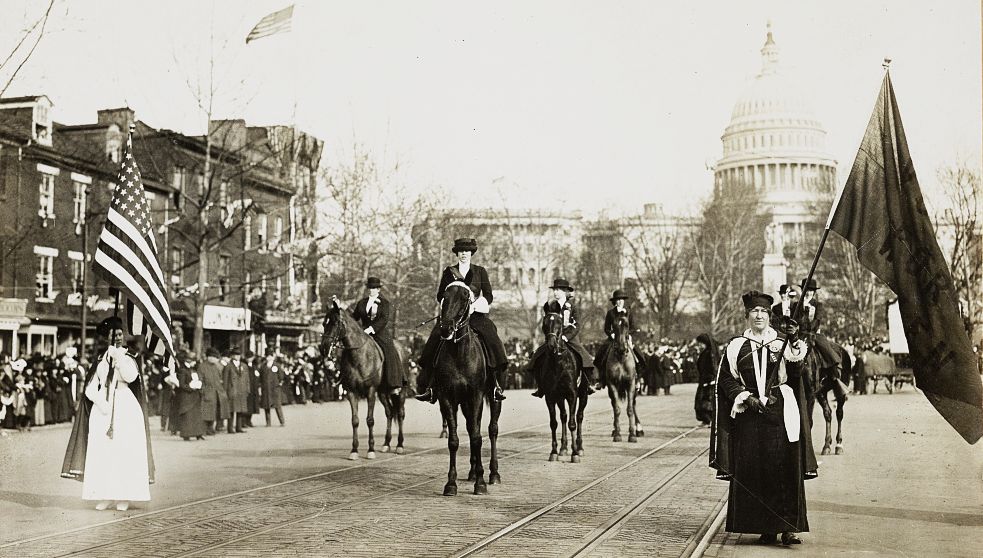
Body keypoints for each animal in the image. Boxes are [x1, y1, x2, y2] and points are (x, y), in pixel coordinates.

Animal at [322, 304, 408, 462]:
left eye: (335, 323)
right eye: (324, 323)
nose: (323, 348)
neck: (358, 356)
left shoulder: (370, 391)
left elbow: (370, 420)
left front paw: (370, 449)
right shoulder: (351, 392)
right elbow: (355, 420)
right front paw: (354, 450)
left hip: (400, 391)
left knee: (400, 414)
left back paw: (400, 445)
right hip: (382, 393)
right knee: (389, 413)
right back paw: (386, 444)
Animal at [434, 282, 504, 496]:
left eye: (465, 297)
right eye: (444, 296)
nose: (446, 328)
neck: (459, 353)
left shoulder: (476, 396)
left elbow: (476, 437)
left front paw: (480, 483)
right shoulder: (447, 398)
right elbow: (454, 440)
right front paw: (451, 483)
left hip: (493, 398)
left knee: (492, 430)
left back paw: (493, 474)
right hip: (464, 403)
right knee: (471, 426)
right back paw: (473, 471)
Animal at [540, 312, 584, 466]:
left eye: (559, 323)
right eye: (545, 323)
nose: (551, 345)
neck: (559, 363)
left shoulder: (572, 395)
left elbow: (572, 424)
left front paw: (575, 453)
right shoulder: (551, 397)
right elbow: (554, 423)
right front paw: (553, 452)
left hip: (583, 395)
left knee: (579, 416)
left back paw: (579, 447)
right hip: (560, 398)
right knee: (563, 417)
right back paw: (563, 448)